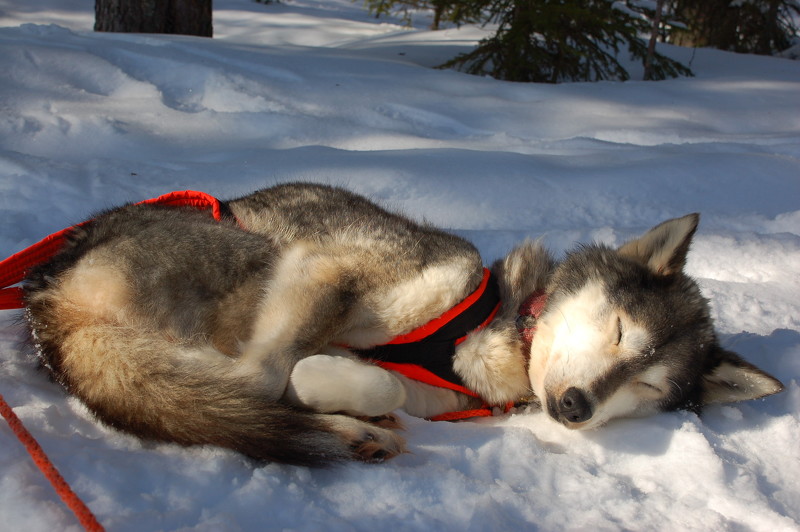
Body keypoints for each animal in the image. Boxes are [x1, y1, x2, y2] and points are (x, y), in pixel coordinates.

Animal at [20, 182, 783, 465]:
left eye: (649, 387)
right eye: (622, 329)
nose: (575, 407)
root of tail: (51, 291)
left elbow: (375, 383)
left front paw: (336, 388)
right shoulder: (324, 268)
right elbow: (275, 375)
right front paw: (316, 383)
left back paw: (350, 429)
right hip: (252, 253)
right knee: (231, 392)